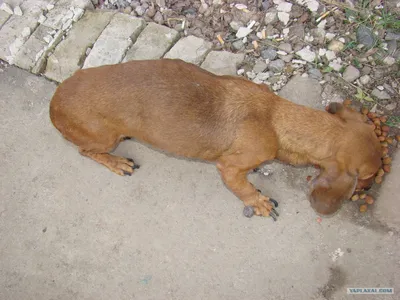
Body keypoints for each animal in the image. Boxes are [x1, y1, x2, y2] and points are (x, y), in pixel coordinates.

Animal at [48, 58, 382, 220]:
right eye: (368, 176)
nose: (371, 188)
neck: (275, 118)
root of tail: (54, 102)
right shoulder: (232, 166)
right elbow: (243, 186)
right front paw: (258, 201)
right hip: (104, 138)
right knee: (86, 151)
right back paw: (117, 162)